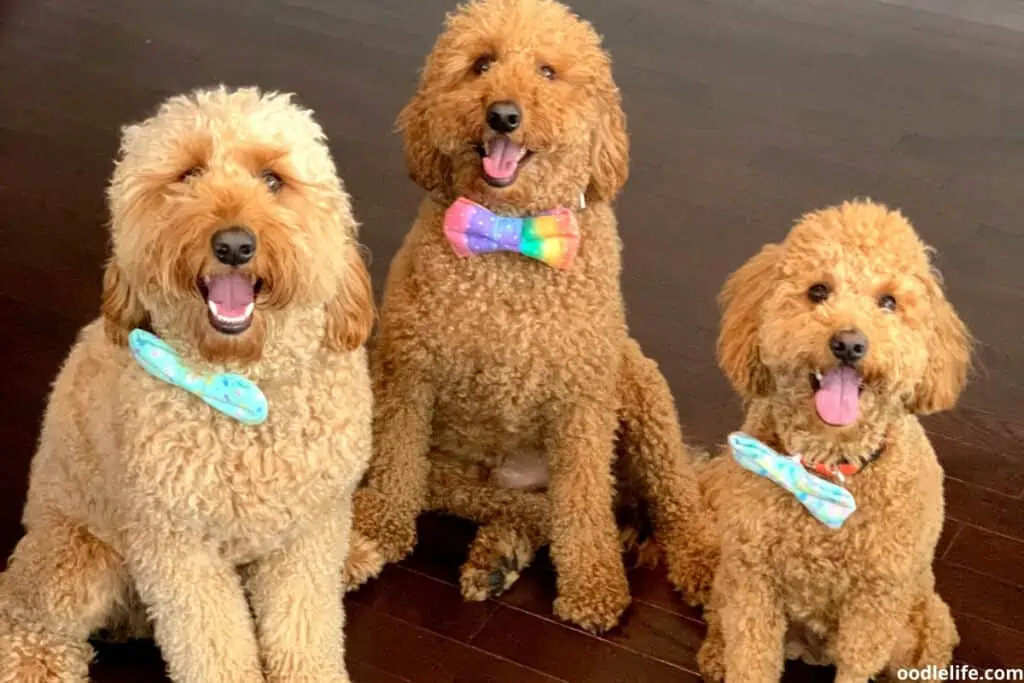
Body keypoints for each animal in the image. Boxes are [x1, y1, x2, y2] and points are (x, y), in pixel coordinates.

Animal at [0, 87, 376, 683]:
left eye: (273, 179)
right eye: (187, 175)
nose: (234, 245)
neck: (244, 389)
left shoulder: (308, 535)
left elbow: (305, 629)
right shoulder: (178, 547)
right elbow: (214, 647)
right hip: (76, 557)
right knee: (24, 612)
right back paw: (37, 664)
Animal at [344, 0, 712, 634]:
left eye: (547, 71)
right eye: (481, 63)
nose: (503, 115)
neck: (508, 236)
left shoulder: (582, 405)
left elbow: (583, 504)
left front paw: (593, 586)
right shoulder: (407, 374)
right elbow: (393, 464)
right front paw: (375, 532)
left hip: (641, 389)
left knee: (669, 499)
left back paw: (697, 559)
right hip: (457, 472)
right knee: (517, 506)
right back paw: (498, 554)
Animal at [692, 198, 970, 683]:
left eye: (888, 302)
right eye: (818, 291)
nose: (849, 343)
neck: (825, 469)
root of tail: (810, 651)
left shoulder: (873, 607)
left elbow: (857, 666)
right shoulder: (752, 585)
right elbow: (750, 659)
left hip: (925, 624)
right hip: (730, 577)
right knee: (717, 616)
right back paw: (714, 656)